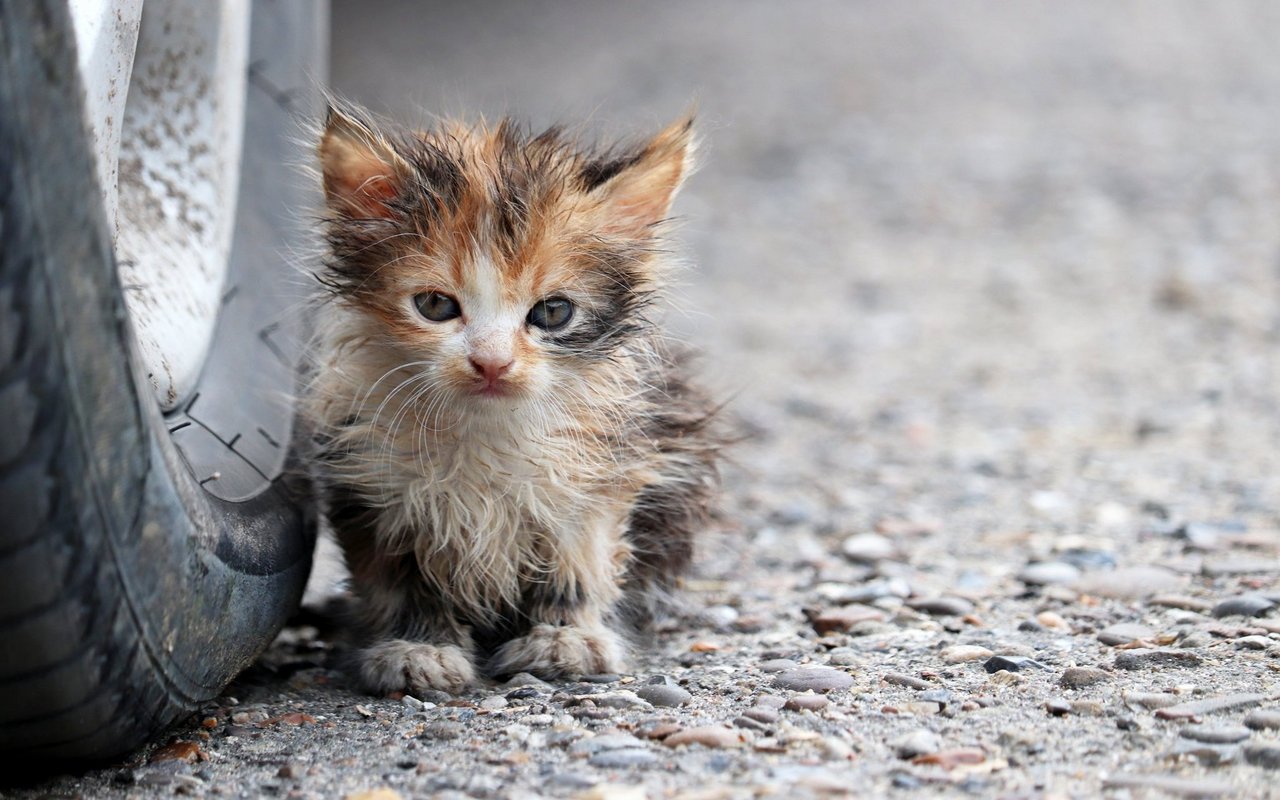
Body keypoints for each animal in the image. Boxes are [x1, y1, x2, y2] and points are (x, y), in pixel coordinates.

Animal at [300, 104, 721, 691]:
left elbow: (579, 562)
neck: (483, 429)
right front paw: (418, 647)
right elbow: (400, 579)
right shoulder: (371, 482)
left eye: (552, 313)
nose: (492, 363)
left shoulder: (603, 474)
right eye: (435, 305)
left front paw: (566, 638)